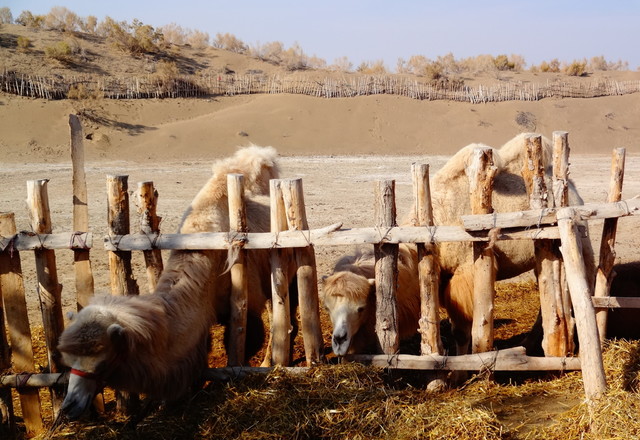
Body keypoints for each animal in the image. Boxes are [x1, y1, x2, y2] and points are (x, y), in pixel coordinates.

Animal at [57, 144, 288, 420]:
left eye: (101, 363)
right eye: (68, 360)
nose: (70, 407)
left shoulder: (246, 305)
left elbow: (245, 344)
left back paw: (268, 362)